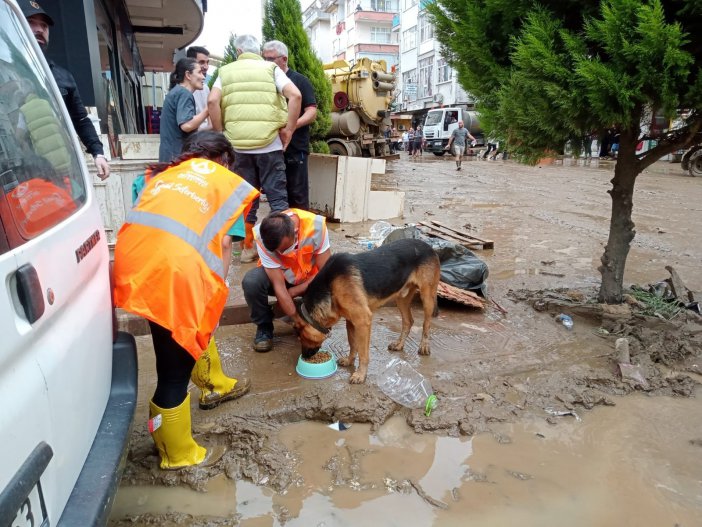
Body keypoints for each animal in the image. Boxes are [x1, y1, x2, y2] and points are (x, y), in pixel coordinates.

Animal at [296, 239, 440, 384]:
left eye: (300, 335)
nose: (305, 356)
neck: (329, 287)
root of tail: (428, 246)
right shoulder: (351, 321)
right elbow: (353, 345)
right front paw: (349, 361)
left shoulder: (363, 321)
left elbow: (363, 353)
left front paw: (360, 374)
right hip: (401, 298)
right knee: (408, 321)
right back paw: (399, 344)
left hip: (427, 297)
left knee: (426, 324)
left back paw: (424, 346)